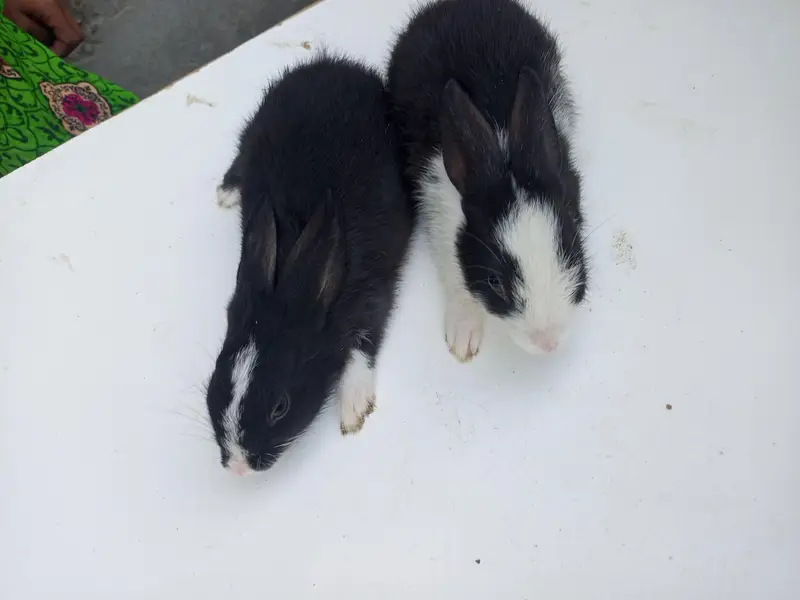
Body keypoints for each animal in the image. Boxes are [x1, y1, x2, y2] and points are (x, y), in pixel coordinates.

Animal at [206, 55, 412, 475]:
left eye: (280, 407)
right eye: (214, 384)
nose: (238, 466)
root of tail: (331, 64)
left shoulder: (374, 295)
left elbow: (363, 341)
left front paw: (353, 407)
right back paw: (227, 192)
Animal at [386, 0, 588, 361]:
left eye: (572, 252)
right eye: (495, 282)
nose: (548, 342)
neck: (502, 145)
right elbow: (456, 278)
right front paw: (463, 337)